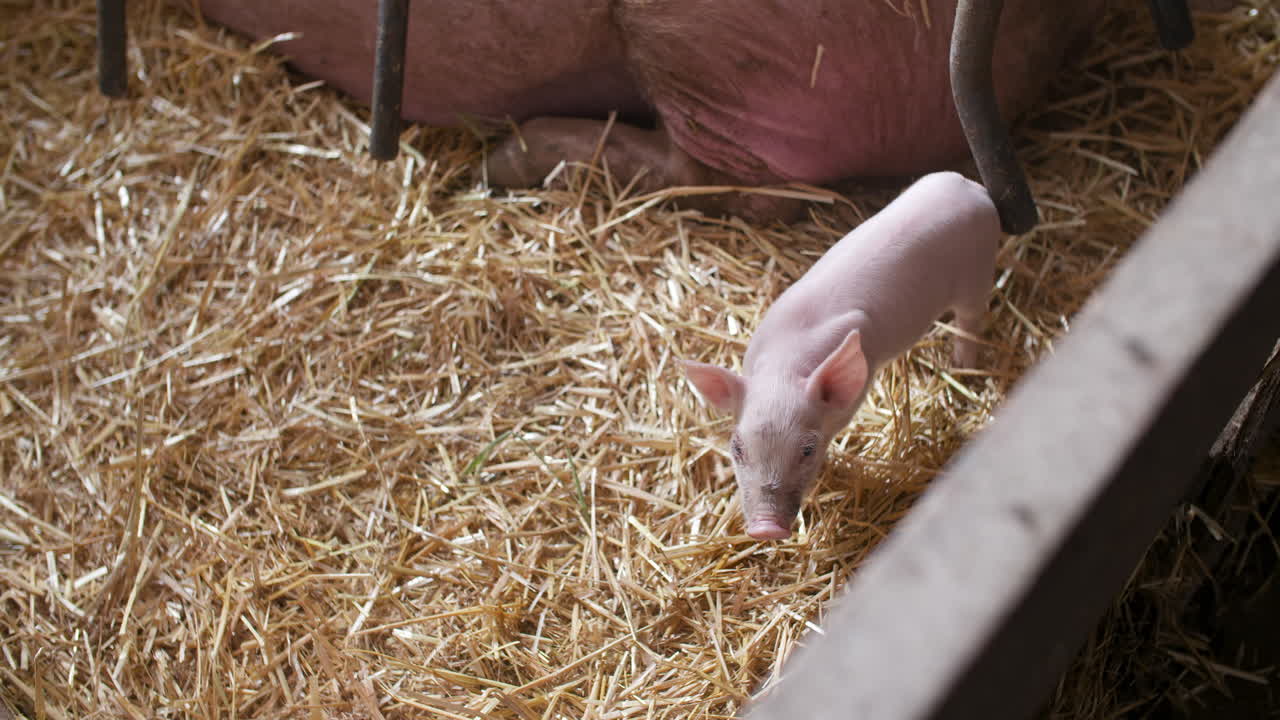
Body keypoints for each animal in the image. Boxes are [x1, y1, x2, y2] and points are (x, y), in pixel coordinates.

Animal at [683, 172, 1001, 539]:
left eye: (807, 450)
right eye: (737, 447)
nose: (765, 529)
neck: (783, 368)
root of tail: (973, 189)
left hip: (977, 273)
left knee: (970, 319)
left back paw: (961, 366)